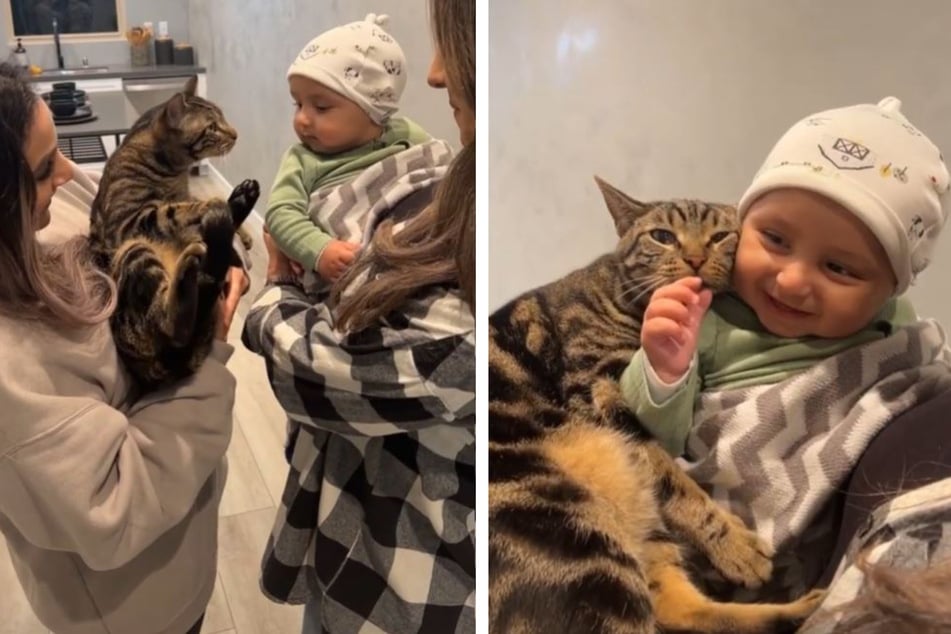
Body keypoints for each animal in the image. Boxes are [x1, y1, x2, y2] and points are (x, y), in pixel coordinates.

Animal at [89, 76, 258, 388]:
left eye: (223, 118)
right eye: (212, 127)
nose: (235, 134)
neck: (172, 170)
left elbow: (184, 204)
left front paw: (243, 232)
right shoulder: (129, 220)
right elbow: (175, 209)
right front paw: (213, 205)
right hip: (135, 248)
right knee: (175, 327)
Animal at [490, 175, 824, 628]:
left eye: (720, 237)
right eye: (662, 237)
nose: (696, 258)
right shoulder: (602, 393)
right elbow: (677, 482)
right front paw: (736, 546)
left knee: (678, 609)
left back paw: (803, 608)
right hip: (575, 532)